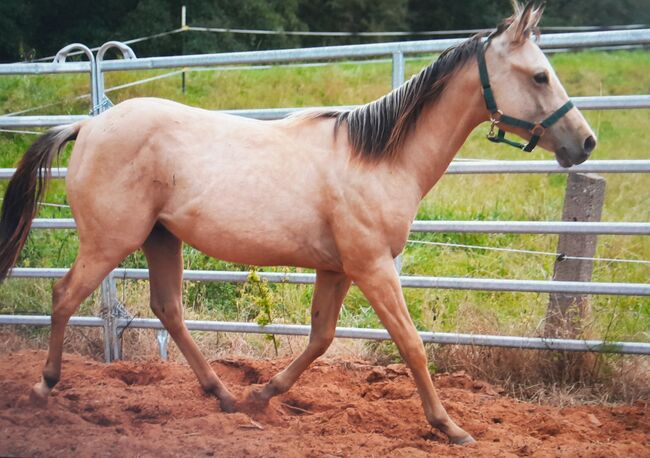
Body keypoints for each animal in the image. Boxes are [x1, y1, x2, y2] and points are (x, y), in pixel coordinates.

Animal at [0, 0, 596, 444]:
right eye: (539, 75)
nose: (585, 143)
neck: (378, 159)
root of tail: (87, 125)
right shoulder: (372, 265)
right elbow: (411, 343)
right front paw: (451, 427)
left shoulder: (338, 268)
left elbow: (321, 338)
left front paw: (262, 396)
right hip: (110, 240)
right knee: (64, 296)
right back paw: (42, 390)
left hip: (159, 239)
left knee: (167, 309)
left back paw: (224, 396)